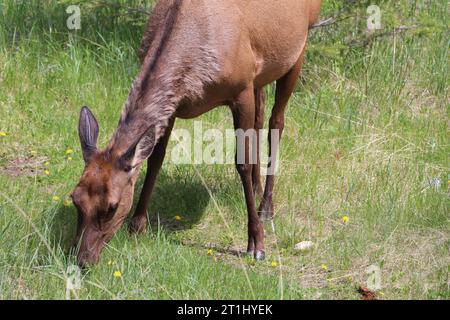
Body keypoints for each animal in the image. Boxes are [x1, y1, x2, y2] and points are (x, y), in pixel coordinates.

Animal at [72, 0, 322, 266]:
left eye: (112, 206)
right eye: (75, 198)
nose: (82, 259)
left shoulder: (242, 87)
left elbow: (241, 163)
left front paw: (256, 243)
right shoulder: (175, 105)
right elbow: (155, 158)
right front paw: (137, 225)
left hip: (299, 47)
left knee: (276, 122)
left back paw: (265, 207)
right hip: (262, 75)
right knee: (260, 116)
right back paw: (256, 187)